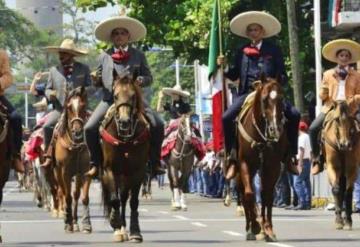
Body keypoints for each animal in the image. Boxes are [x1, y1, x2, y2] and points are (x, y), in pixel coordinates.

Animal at [54, 87, 93, 233]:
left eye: (83, 106)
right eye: (69, 107)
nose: (77, 132)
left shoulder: (86, 170)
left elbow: (84, 197)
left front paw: (86, 224)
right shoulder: (64, 172)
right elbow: (68, 197)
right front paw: (68, 223)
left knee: (76, 194)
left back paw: (75, 221)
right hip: (58, 173)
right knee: (64, 193)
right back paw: (68, 219)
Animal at [236, 77, 286, 241]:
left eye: (281, 98)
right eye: (264, 100)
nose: (275, 129)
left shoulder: (272, 166)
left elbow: (267, 195)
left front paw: (267, 229)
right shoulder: (244, 163)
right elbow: (249, 194)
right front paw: (255, 226)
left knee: (263, 193)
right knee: (243, 192)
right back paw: (250, 227)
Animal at [320, 100, 360, 230]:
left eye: (351, 119)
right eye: (337, 120)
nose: (345, 144)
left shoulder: (352, 168)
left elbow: (348, 192)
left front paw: (348, 220)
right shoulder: (332, 166)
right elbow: (337, 190)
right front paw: (338, 220)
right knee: (338, 190)